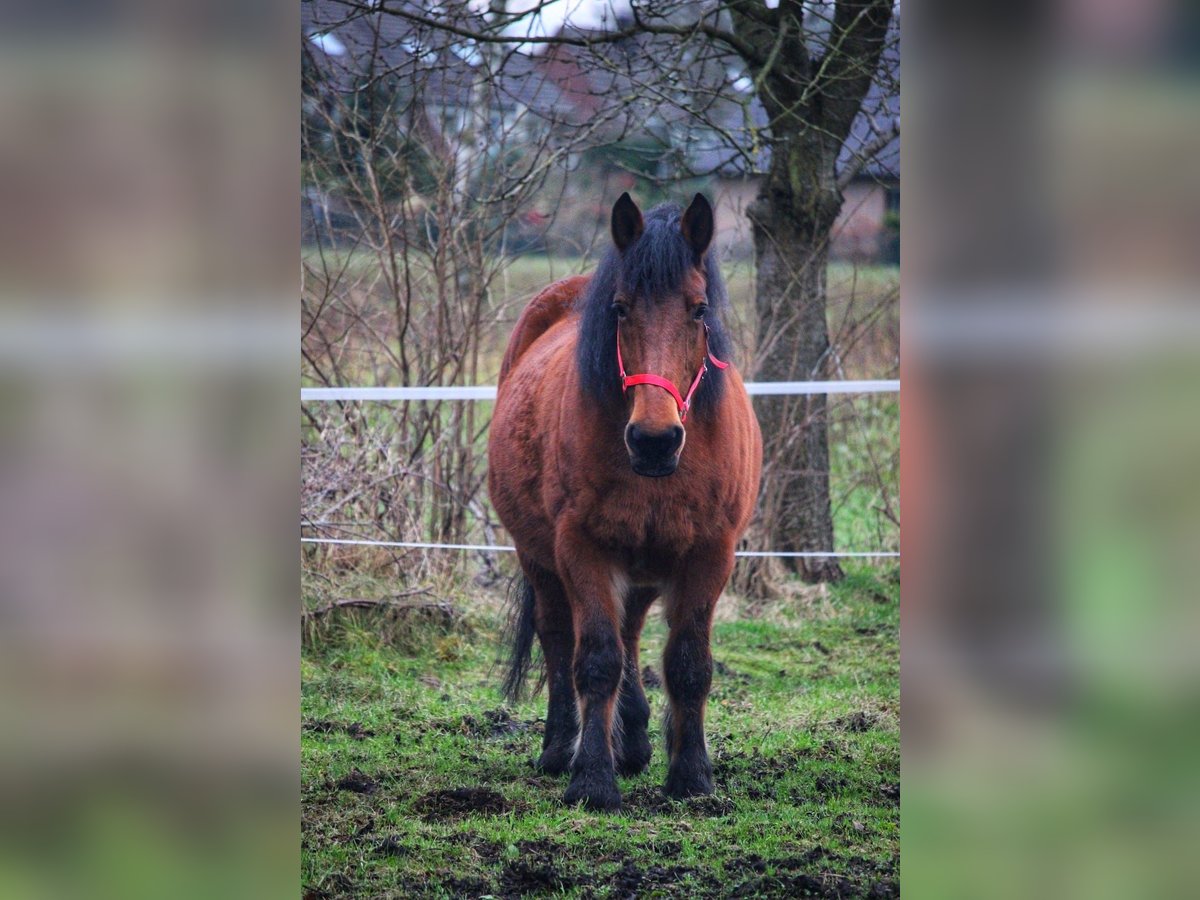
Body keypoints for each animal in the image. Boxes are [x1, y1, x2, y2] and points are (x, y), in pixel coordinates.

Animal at [484, 194, 758, 816]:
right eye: (620, 309)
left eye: (699, 310)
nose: (655, 441)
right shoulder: (582, 548)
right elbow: (596, 660)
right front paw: (591, 780)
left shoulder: (710, 553)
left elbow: (688, 664)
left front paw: (691, 777)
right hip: (541, 559)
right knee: (560, 638)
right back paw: (561, 747)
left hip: (644, 561)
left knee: (632, 634)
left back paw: (631, 744)